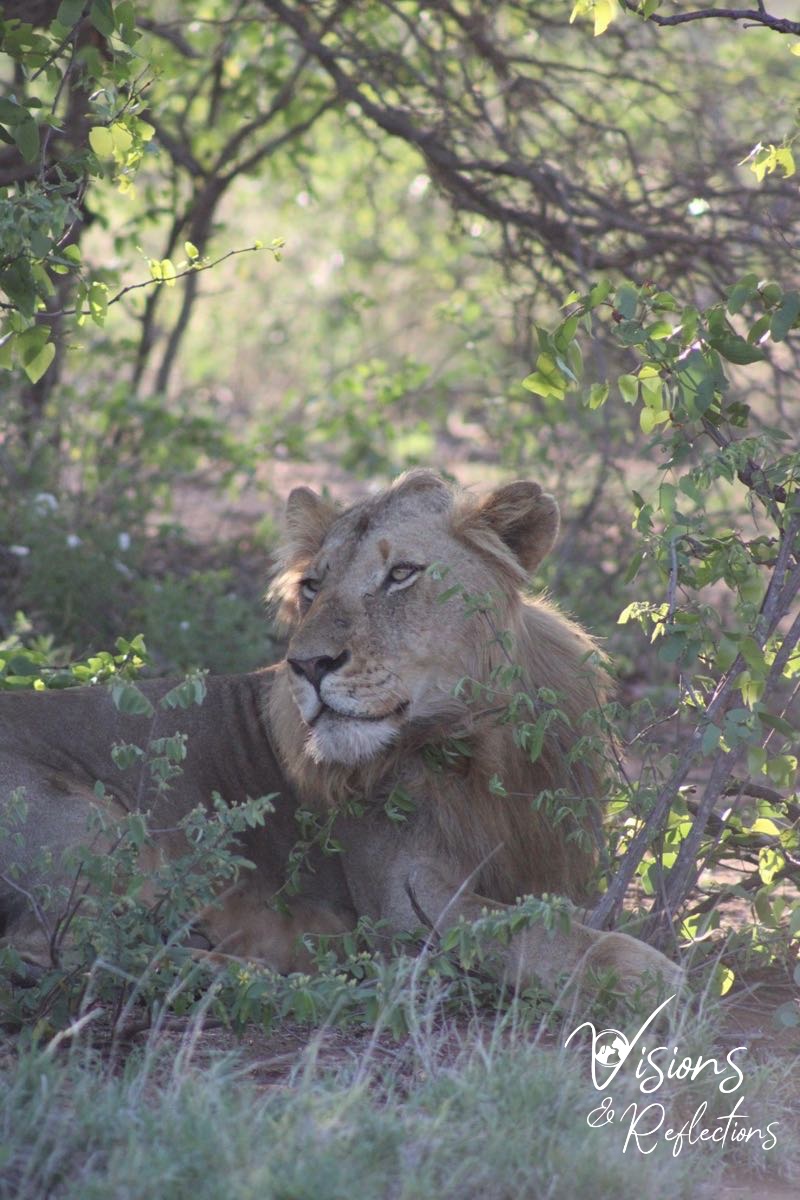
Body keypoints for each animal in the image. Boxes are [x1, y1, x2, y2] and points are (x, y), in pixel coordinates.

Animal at [0, 470, 679, 996]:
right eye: (312, 585)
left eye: (402, 574)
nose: (307, 665)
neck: (480, 744)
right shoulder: (404, 901)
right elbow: (536, 932)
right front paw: (648, 975)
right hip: (97, 826)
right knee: (59, 949)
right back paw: (254, 973)